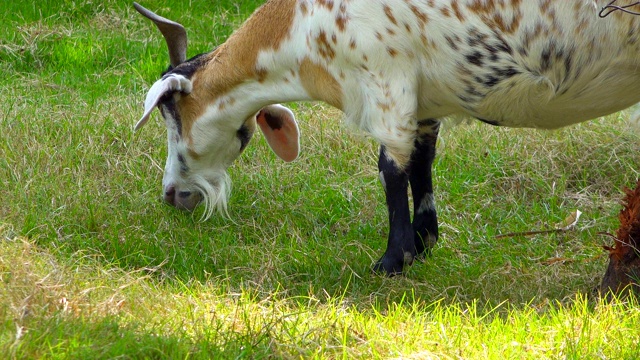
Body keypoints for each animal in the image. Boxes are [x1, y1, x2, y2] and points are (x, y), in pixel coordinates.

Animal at [134, 0, 640, 276]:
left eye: (169, 114)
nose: (172, 195)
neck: (302, 26)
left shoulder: (385, 81)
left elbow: (391, 166)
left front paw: (394, 259)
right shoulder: (423, 104)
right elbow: (422, 161)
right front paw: (425, 239)